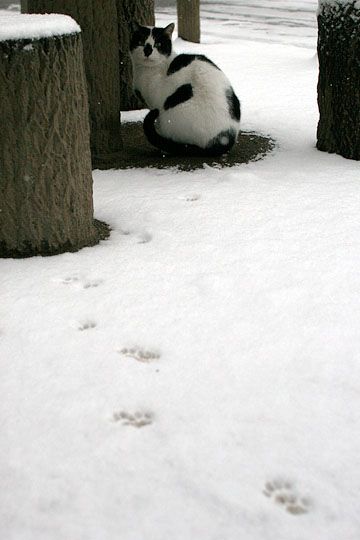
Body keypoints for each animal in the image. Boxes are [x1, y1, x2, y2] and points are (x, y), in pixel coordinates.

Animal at [130, 21, 242, 156]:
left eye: (158, 44)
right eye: (141, 42)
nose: (147, 51)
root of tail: (222, 140)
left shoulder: (156, 103)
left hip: (171, 117)